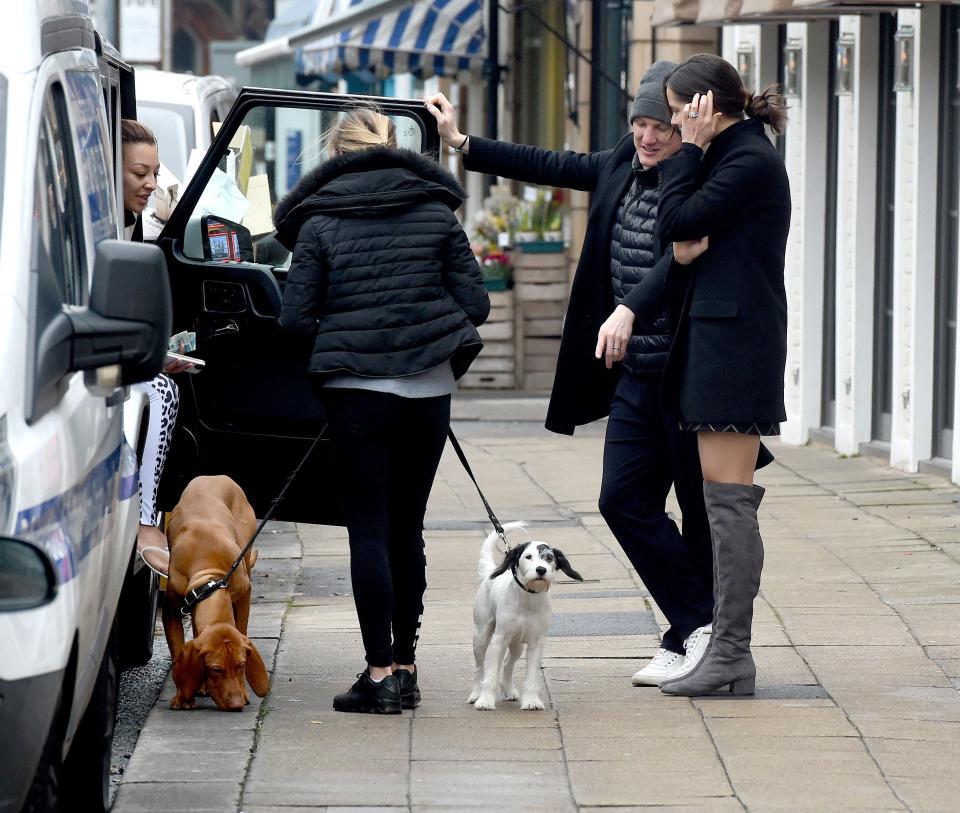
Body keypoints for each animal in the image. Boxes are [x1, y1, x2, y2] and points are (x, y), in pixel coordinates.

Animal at [162, 472, 270, 708]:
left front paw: (245, 691)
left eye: (241, 665)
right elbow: (177, 653)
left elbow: (241, 628)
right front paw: (183, 696)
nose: (237, 704)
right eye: (215, 670)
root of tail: (214, 475)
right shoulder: (172, 611)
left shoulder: (244, 594)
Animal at [466, 524, 580, 708]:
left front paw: (531, 700)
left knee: (507, 665)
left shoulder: (536, 643)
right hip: (481, 636)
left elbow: (531, 677)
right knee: (479, 667)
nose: (541, 570)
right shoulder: (499, 640)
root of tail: (489, 574)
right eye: (528, 556)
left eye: (549, 558)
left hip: (516, 644)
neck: (528, 600)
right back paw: (476, 694)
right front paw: (486, 700)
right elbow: (490, 674)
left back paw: (509, 690)